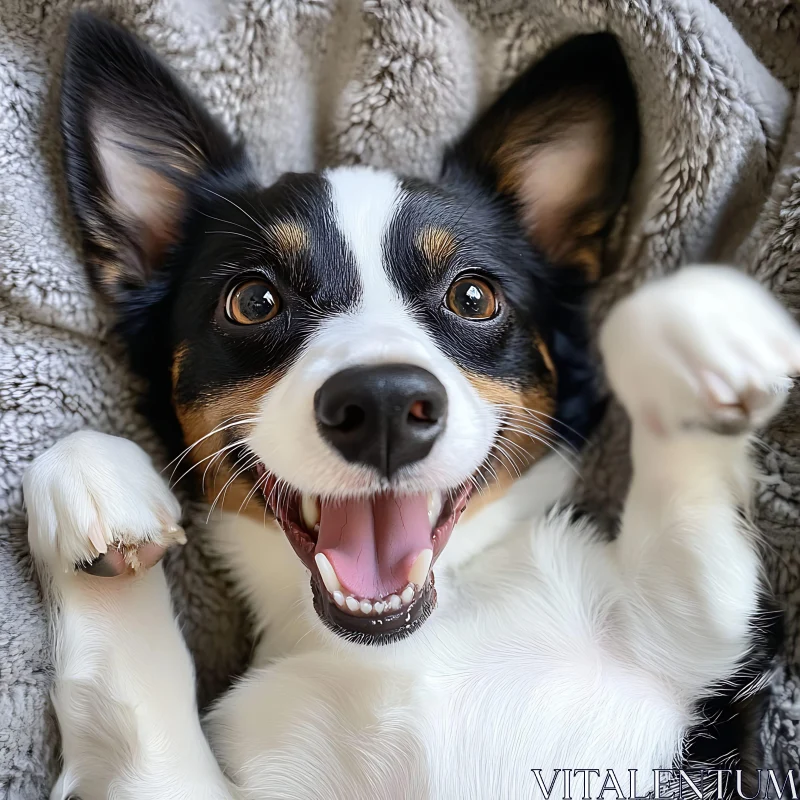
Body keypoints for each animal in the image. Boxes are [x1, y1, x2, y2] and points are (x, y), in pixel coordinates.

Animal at [25, 12, 800, 800]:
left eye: (473, 296)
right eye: (254, 300)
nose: (383, 406)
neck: (406, 647)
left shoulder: (707, 642)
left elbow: (689, 533)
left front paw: (699, 328)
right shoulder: (186, 777)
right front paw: (97, 486)